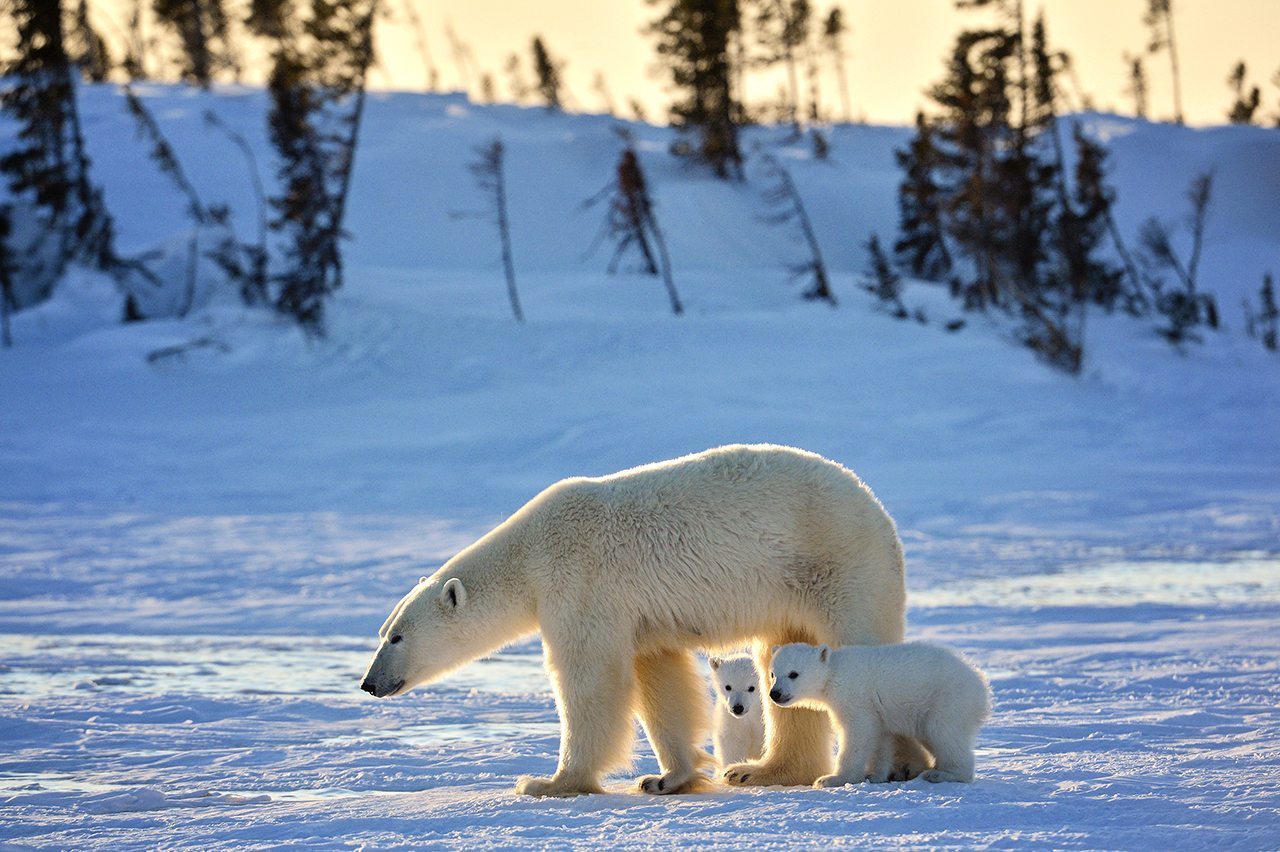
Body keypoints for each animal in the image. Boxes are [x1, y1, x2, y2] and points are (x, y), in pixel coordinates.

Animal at [360, 440, 921, 793]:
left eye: (396, 637)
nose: (369, 683)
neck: (531, 551)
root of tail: (878, 510)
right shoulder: (640, 617)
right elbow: (659, 677)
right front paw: (667, 778)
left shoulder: (580, 582)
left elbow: (589, 679)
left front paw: (548, 782)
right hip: (792, 591)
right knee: (781, 661)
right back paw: (760, 770)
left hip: (837, 565)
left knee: (860, 646)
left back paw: (900, 766)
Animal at [762, 639, 993, 788]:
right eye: (773, 674)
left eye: (793, 674)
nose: (775, 693)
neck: (833, 675)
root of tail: (982, 685)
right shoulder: (874, 710)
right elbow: (880, 737)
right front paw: (876, 775)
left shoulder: (855, 698)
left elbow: (858, 734)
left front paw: (830, 779)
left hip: (947, 699)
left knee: (943, 734)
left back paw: (941, 774)